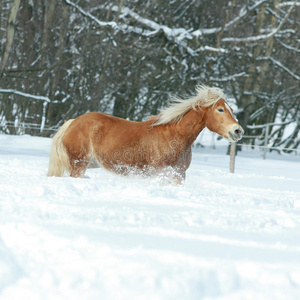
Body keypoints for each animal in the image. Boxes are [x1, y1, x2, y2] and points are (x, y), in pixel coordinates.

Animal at [47, 84, 244, 183]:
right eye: (220, 109)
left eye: (232, 109)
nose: (238, 131)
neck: (175, 136)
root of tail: (73, 122)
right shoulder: (160, 173)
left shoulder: (180, 175)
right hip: (78, 164)